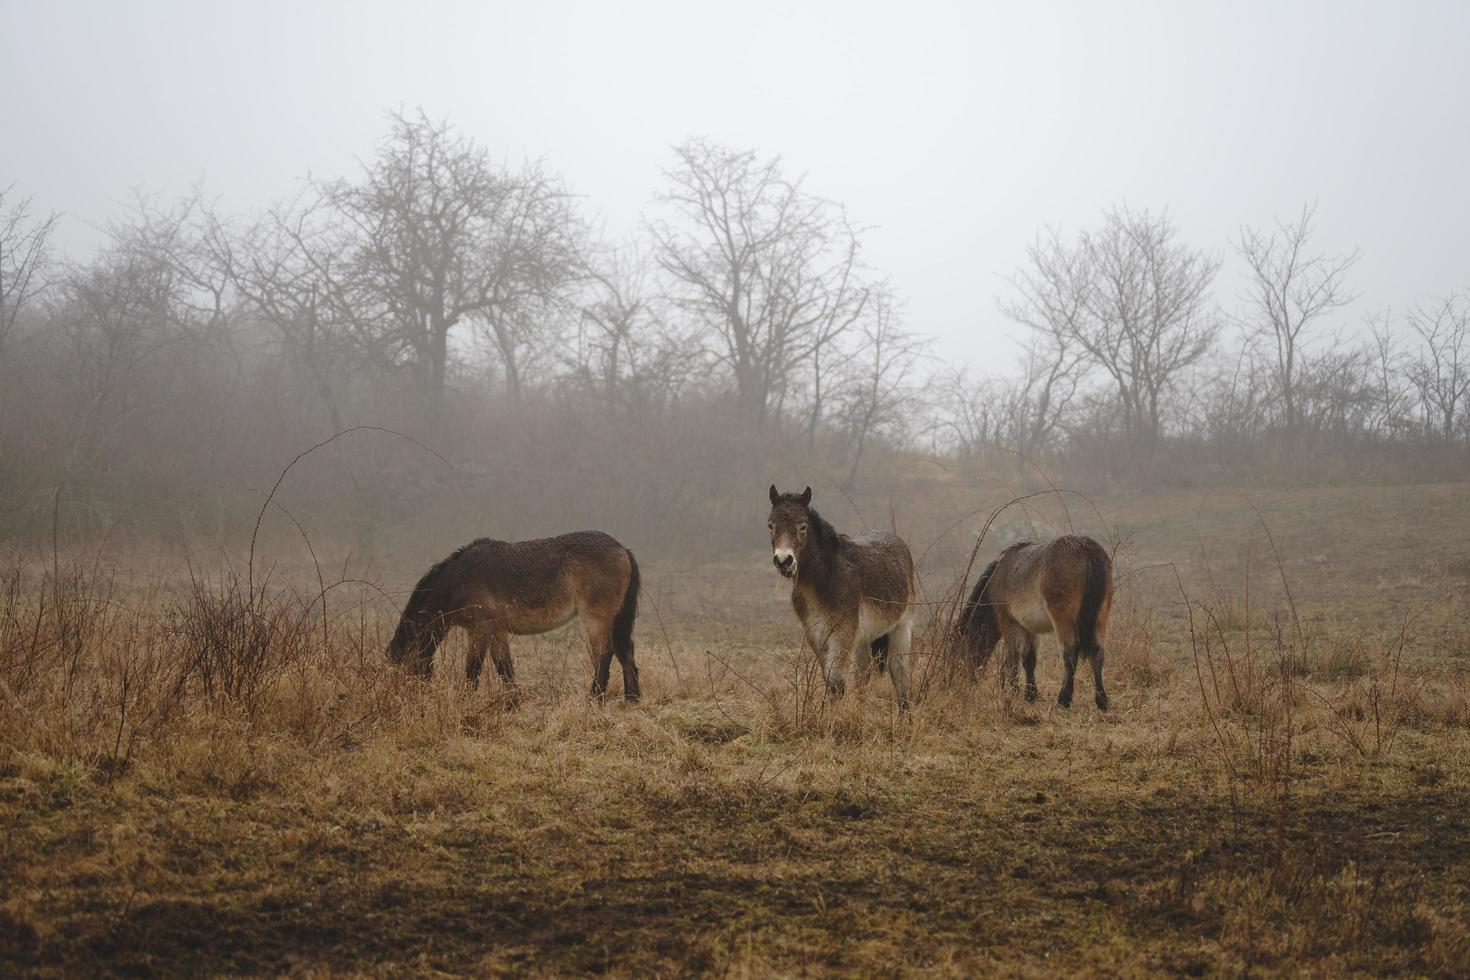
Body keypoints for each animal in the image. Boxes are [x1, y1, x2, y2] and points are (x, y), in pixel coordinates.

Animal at [388, 531, 640, 702]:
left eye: (405, 670)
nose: (406, 698)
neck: (458, 580)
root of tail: (622, 549)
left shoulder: (481, 629)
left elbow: (474, 667)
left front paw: (466, 700)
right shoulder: (493, 631)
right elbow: (503, 666)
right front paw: (513, 703)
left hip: (596, 619)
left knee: (604, 654)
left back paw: (594, 699)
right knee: (624, 650)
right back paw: (632, 698)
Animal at [770, 487, 917, 708]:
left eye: (803, 526)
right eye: (771, 525)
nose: (783, 561)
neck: (827, 576)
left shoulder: (842, 631)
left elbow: (836, 681)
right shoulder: (815, 634)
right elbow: (829, 678)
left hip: (901, 628)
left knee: (899, 672)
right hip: (864, 639)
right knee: (863, 675)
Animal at [952, 537, 1111, 714]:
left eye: (958, 651)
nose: (961, 682)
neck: (997, 576)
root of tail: (1087, 550)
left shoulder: (1009, 622)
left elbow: (1013, 656)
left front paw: (1012, 691)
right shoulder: (1029, 627)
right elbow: (1029, 659)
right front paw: (1030, 695)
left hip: (1063, 619)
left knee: (1070, 653)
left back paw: (1063, 699)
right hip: (1100, 618)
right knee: (1098, 654)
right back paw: (1102, 701)